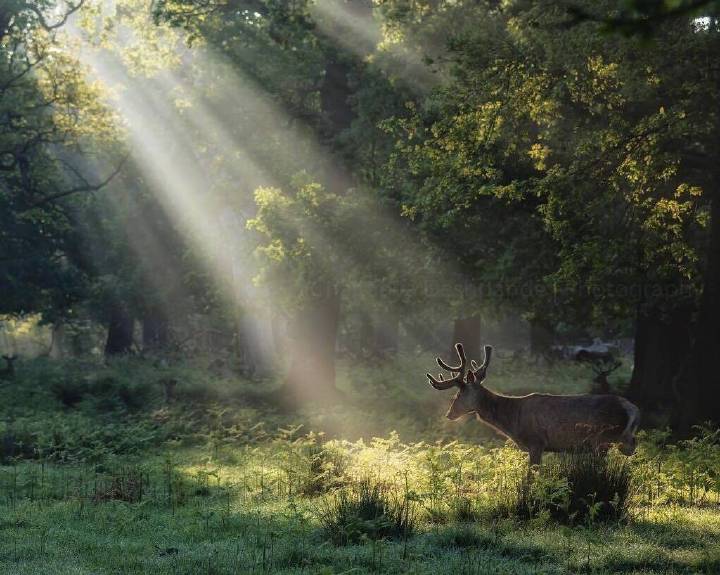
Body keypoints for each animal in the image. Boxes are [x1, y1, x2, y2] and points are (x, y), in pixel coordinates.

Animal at [424, 344, 640, 466]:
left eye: (459, 393)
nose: (449, 414)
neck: (512, 420)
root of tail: (633, 409)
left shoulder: (536, 441)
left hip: (603, 437)